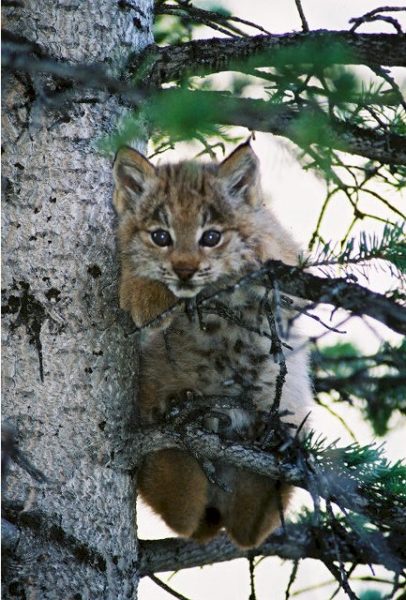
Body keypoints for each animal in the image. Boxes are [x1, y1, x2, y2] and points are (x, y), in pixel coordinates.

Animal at [112, 142, 312, 548]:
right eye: (161, 237)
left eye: (211, 237)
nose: (185, 270)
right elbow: (131, 260)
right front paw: (146, 290)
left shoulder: (294, 278)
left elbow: (273, 253)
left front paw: (251, 253)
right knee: (179, 507)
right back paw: (180, 409)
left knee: (252, 528)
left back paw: (276, 442)